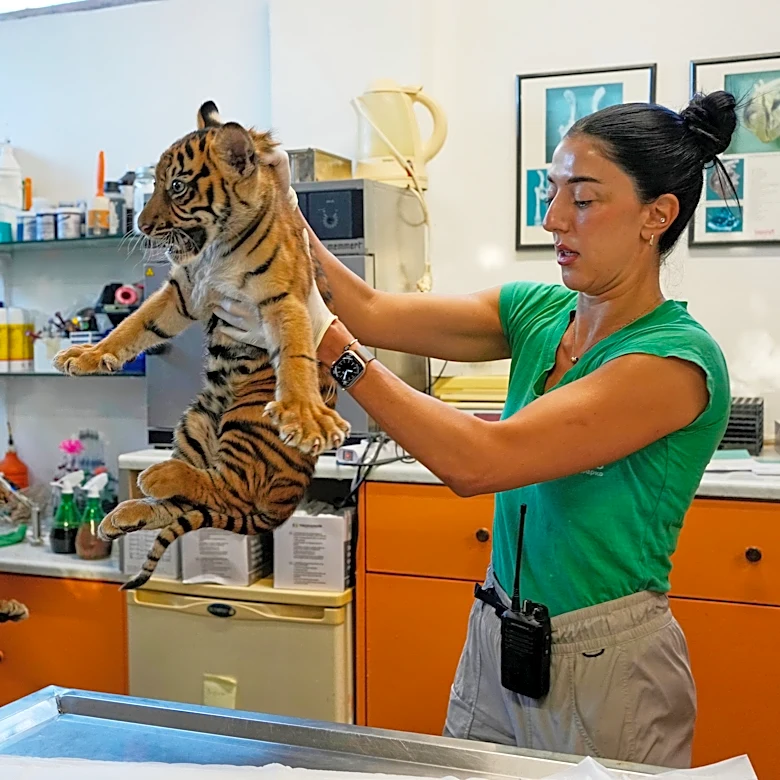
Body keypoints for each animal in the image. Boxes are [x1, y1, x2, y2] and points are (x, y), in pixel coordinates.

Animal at [53, 101, 350, 590]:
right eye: (153, 184)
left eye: (176, 186)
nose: (141, 225)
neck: (216, 247)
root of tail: (285, 503)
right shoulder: (183, 292)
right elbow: (134, 325)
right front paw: (88, 354)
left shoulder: (281, 299)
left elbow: (295, 355)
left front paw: (305, 415)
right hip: (195, 421)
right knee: (192, 501)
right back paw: (127, 510)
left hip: (249, 418)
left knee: (229, 490)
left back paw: (157, 475)